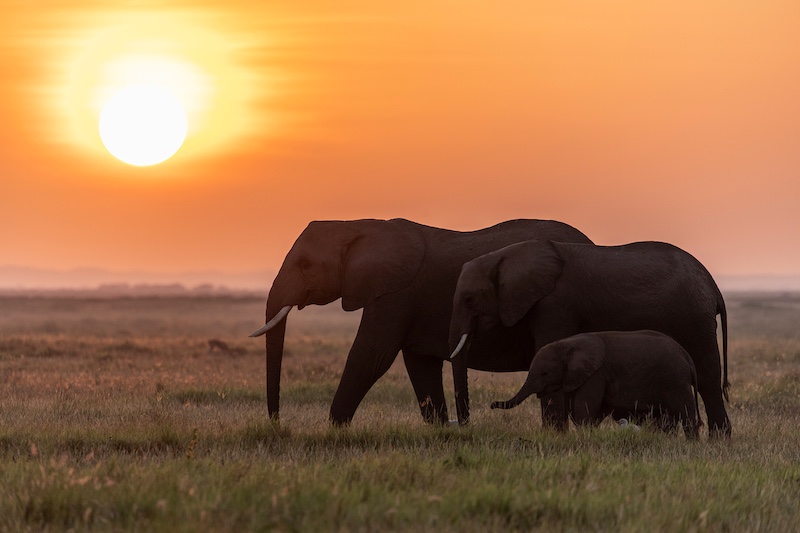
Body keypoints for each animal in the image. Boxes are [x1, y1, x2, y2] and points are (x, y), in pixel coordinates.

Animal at [250, 216, 592, 424]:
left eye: (305, 264)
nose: (277, 422)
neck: (358, 225)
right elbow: (420, 365)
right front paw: (441, 429)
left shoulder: (395, 295)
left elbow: (370, 356)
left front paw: (334, 429)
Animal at [490, 330, 704, 438]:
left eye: (545, 373)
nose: (491, 405)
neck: (567, 343)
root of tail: (688, 357)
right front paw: (589, 433)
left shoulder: (596, 374)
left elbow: (583, 407)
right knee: (667, 416)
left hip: (675, 379)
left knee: (684, 412)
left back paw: (690, 444)